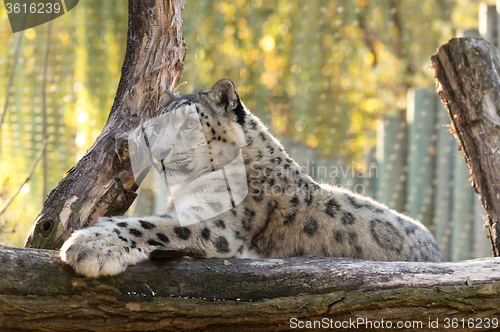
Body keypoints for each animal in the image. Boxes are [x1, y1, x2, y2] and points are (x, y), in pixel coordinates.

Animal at [60, 78, 444, 278]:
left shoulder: (215, 224)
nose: (160, 154)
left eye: (189, 125)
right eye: (155, 128)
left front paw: (88, 245)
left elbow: (149, 224)